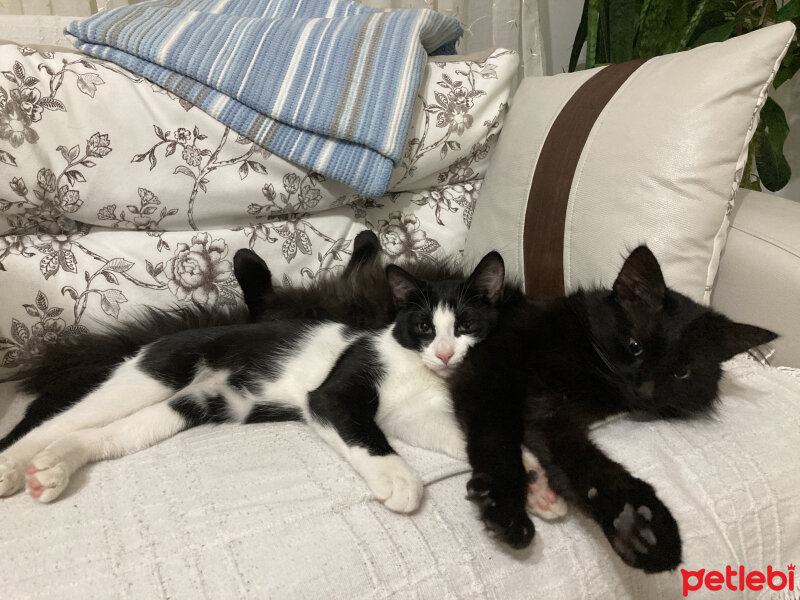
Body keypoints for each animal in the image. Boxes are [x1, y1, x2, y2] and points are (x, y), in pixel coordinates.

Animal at [0, 254, 500, 510]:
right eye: (423, 327)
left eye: (465, 325)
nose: (444, 354)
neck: (413, 366)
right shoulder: (334, 391)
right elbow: (362, 429)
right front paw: (398, 479)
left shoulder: (413, 415)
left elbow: (453, 432)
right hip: (154, 373)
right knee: (57, 422)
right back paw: (13, 466)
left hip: (191, 405)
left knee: (101, 435)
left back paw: (51, 470)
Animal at [454, 245, 780, 572]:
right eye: (635, 347)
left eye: (682, 372)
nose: (645, 392)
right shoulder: (486, 370)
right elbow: (497, 441)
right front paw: (505, 511)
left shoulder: (551, 417)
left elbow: (590, 467)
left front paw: (636, 524)